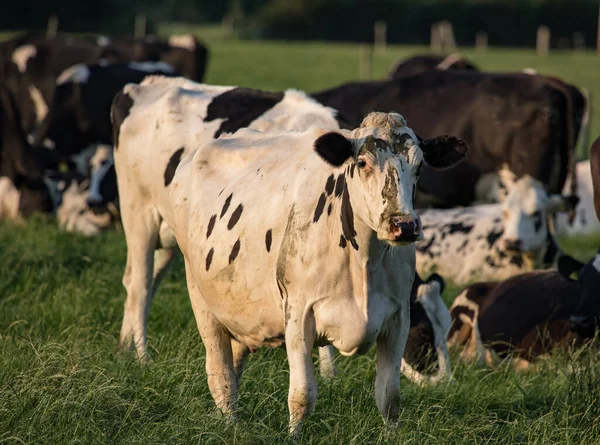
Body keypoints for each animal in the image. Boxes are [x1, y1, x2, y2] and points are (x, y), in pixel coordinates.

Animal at [112, 99, 466, 432]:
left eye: (419, 167)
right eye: (363, 163)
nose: (404, 225)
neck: (364, 261)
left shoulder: (397, 318)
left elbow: (389, 397)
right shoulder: (298, 315)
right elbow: (302, 395)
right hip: (184, 275)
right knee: (216, 369)